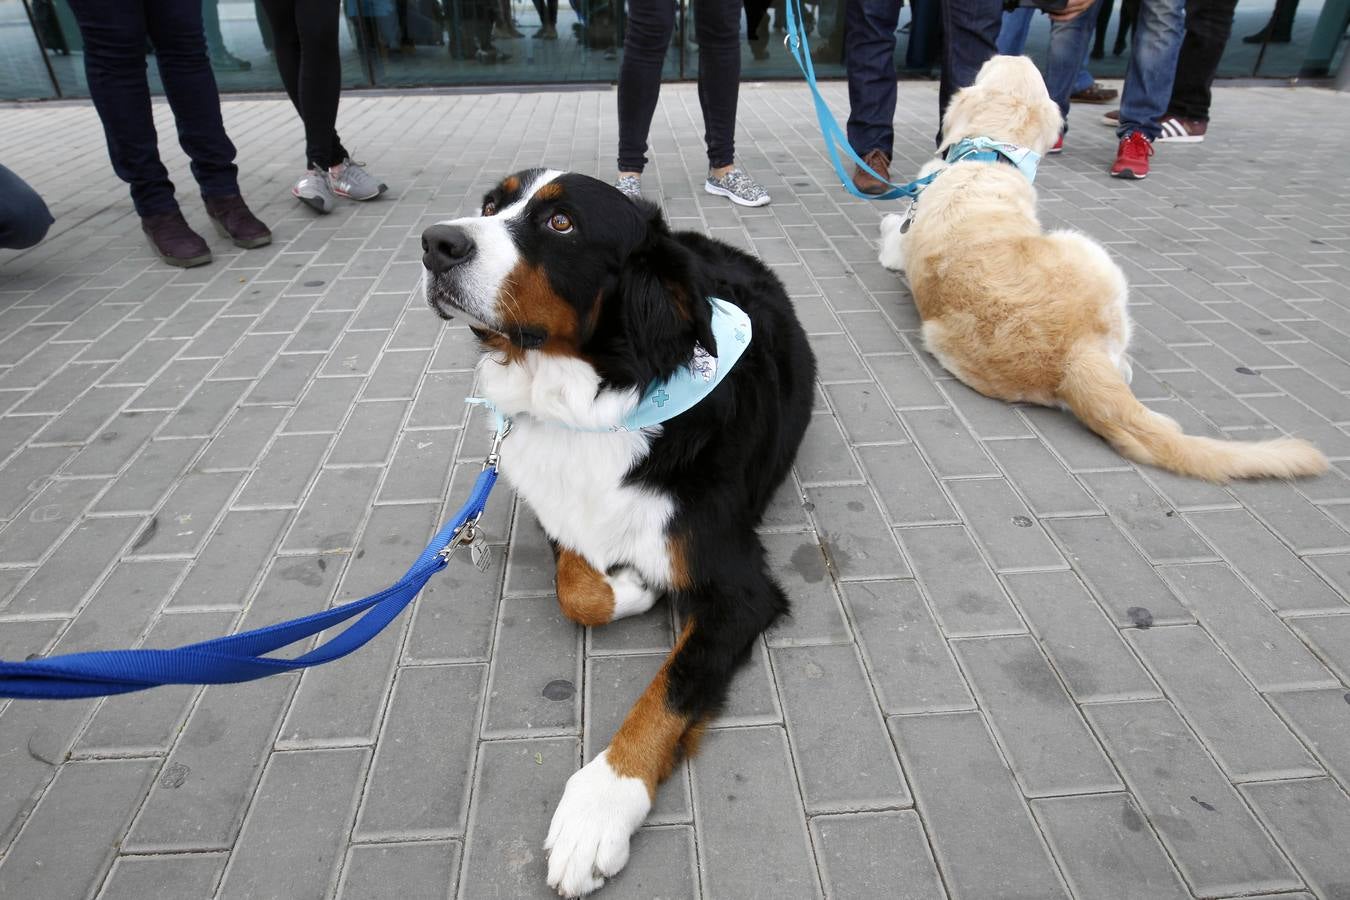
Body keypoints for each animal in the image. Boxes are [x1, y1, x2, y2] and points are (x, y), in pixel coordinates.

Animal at [421, 170, 815, 900]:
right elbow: (578, 587)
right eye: (492, 204)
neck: (585, 401)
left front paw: (597, 809)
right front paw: (632, 588)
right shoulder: (552, 504)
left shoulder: (739, 587)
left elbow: (667, 691)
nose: (436, 243)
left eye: (562, 224)